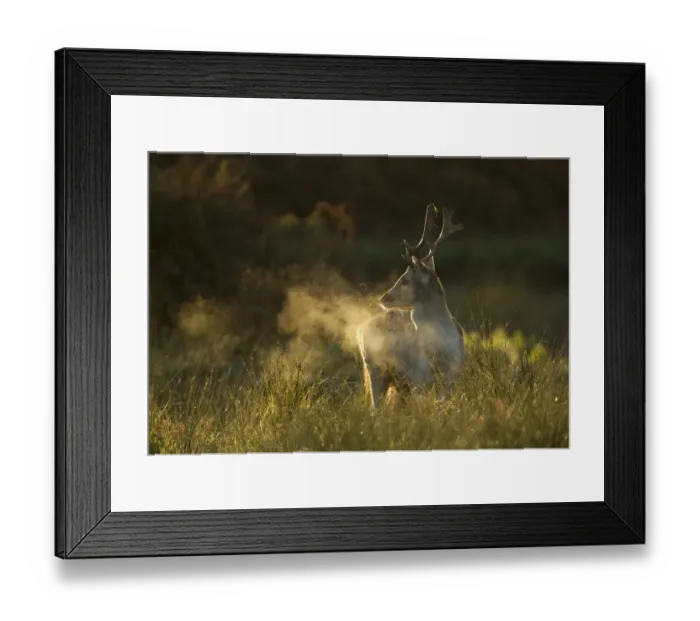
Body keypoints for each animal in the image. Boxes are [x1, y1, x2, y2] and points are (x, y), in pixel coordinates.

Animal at [357, 205, 465, 408]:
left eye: (405, 280)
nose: (383, 298)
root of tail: (359, 329)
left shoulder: (453, 376)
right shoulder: (418, 377)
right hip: (374, 368)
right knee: (375, 407)